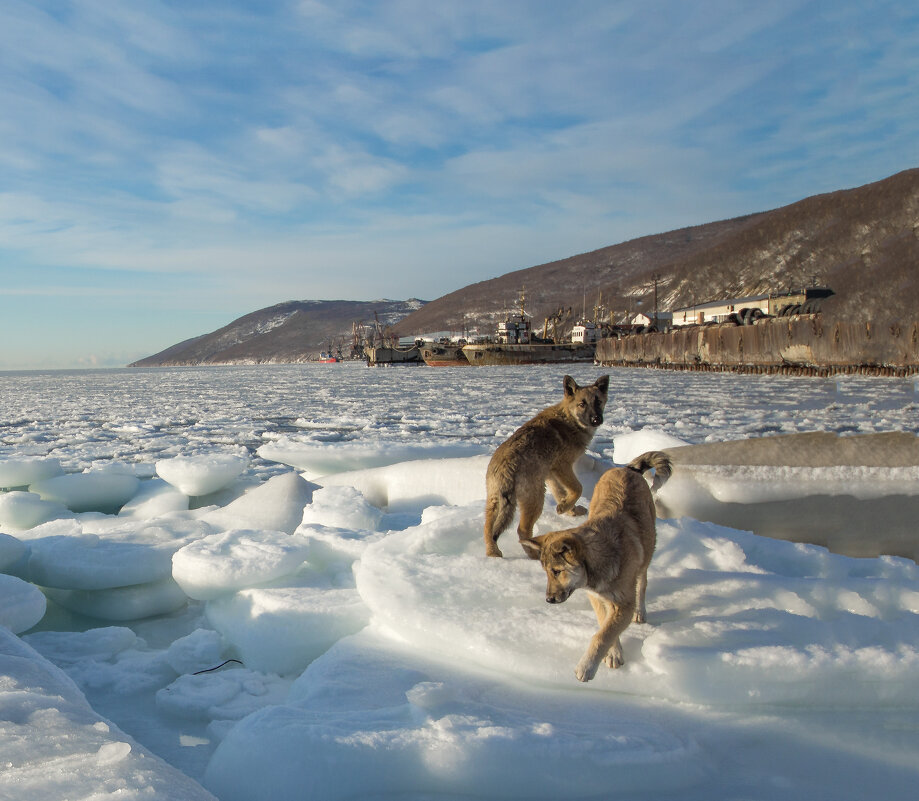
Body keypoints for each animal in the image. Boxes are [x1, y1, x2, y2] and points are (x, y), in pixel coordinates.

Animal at [482, 374, 612, 556]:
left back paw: (493, 553)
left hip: (495, 502)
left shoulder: (551, 475)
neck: (569, 419)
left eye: (598, 401)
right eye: (582, 404)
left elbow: (561, 493)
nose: (596, 419)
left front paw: (569, 509)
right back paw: (533, 555)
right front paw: (566, 507)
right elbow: (577, 488)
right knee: (522, 530)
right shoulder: (562, 466)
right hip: (536, 499)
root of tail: (506, 467)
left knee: (488, 530)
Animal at [520, 450, 672, 680]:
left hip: (647, 550)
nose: (549, 600)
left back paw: (641, 611)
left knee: (642, 583)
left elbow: (604, 634)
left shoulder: (624, 603)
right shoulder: (596, 597)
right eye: (546, 572)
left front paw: (587, 666)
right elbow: (605, 625)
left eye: (557, 571)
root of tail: (626, 469)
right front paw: (614, 653)